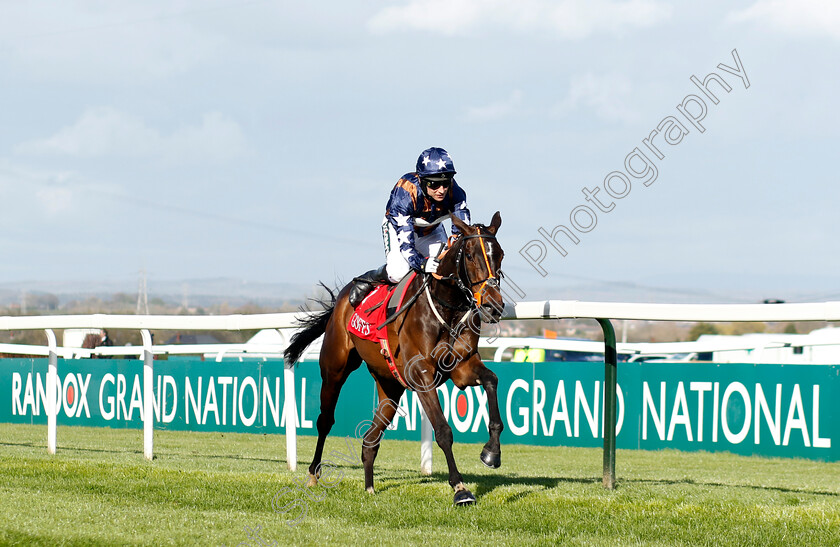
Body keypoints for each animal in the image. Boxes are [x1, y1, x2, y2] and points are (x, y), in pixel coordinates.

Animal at [282, 212, 506, 508]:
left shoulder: (463, 367)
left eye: (500, 254)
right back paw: (313, 475)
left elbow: (492, 380)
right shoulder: (421, 375)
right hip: (334, 369)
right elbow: (443, 431)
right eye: (470, 255)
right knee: (325, 420)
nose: (494, 305)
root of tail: (341, 301)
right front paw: (460, 489)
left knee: (370, 439)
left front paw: (491, 453)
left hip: (390, 387)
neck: (445, 307)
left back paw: (369, 488)